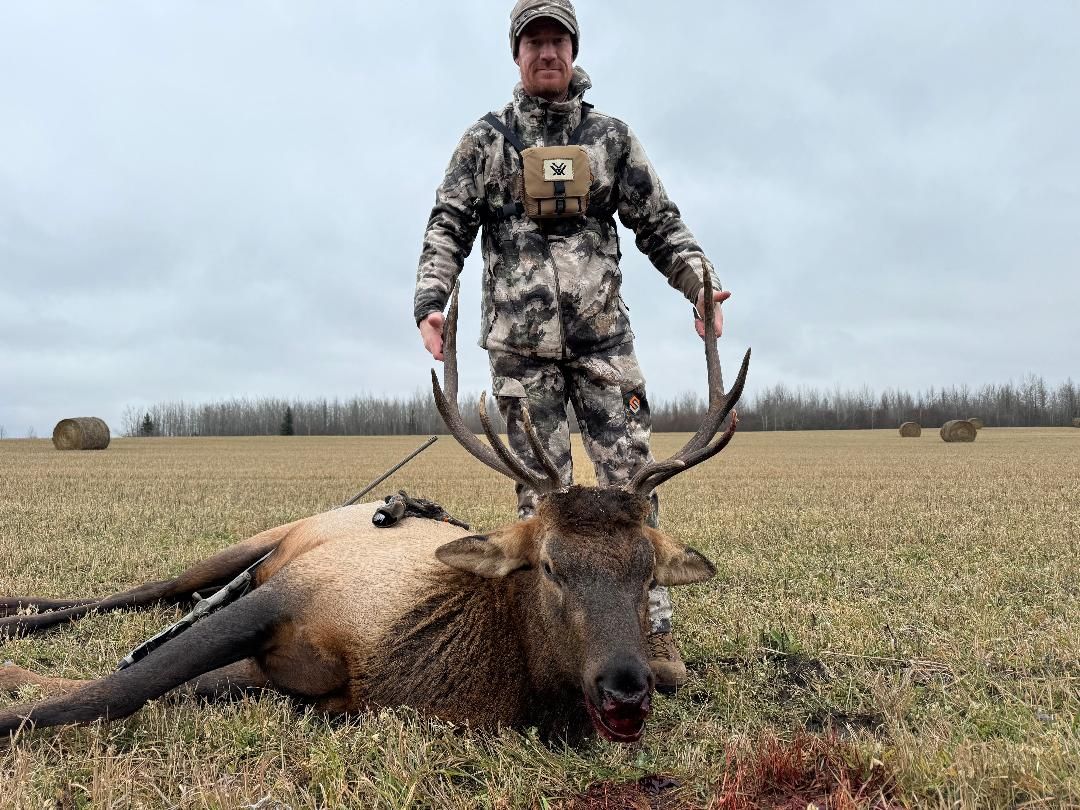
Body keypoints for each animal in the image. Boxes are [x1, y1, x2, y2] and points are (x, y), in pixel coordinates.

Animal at [0, 280, 747, 747]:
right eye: (550, 567)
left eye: (647, 572)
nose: (626, 686)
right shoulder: (289, 592)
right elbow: (104, 693)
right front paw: (16, 687)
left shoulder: (293, 684)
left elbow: (156, 688)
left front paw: (19, 678)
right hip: (260, 542)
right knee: (145, 590)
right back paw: (17, 611)